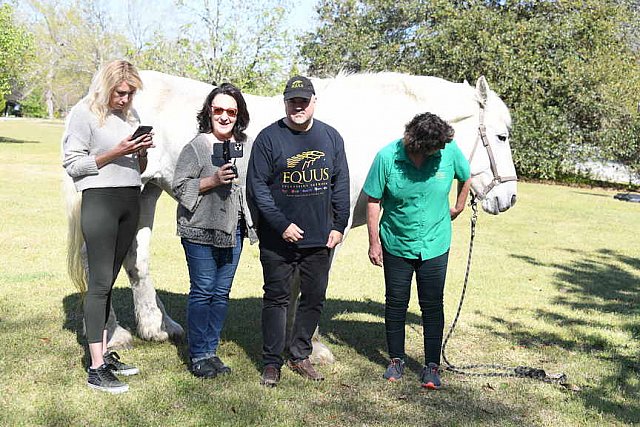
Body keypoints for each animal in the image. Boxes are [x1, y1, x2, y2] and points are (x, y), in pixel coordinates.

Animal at [63, 71, 516, 358]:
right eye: (500, 136)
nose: (508, 198)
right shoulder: (326, 229)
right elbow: (310, 283)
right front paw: (309, 347)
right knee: (99, 261)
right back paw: (111, 334)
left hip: (146, 194)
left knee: (134, 260)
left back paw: (157, 327)